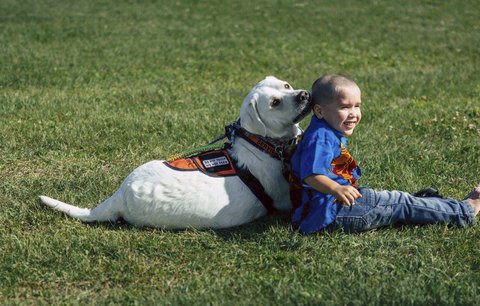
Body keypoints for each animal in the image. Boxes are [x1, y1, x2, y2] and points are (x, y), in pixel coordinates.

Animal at [40, 76, 312, 230]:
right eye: (275, 102)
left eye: (286, 85)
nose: (304, 95)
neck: (260, 142)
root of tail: (119, 197)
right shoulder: (284, 198)